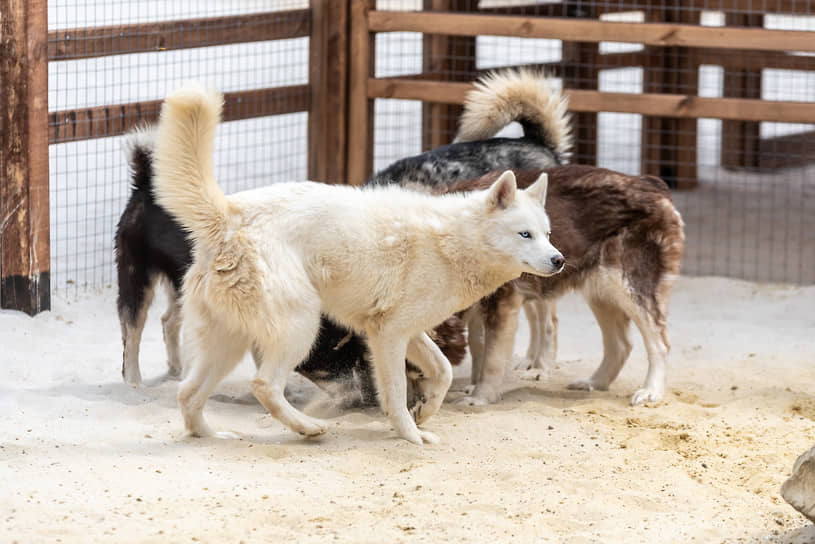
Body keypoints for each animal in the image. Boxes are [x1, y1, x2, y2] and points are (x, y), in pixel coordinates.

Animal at [150, 83, 564, 444]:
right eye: (525, 234)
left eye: (547, 233)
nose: (559, 260)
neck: (452, 239)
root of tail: (228, 216)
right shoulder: (390, 337)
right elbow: (396, 393)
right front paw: (411, 436)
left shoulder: (403, 331)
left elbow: (443, 372)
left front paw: (425, 414)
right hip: (300, 327)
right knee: (263, 386)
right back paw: (308, 428)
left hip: (228, 342)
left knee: (188, 393)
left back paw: (212, 435)